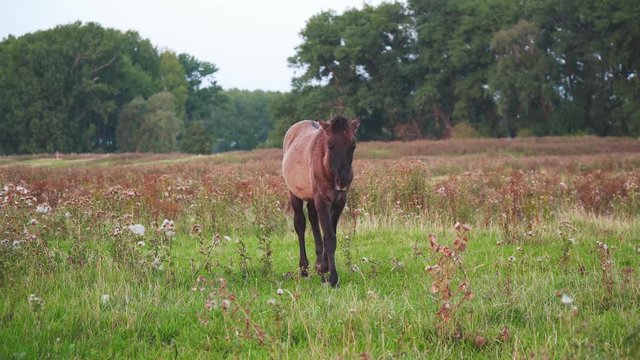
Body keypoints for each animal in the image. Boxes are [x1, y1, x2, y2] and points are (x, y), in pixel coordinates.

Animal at [282, 116, 360, 286]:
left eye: (353, 146)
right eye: (330, 146)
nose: (342, 181)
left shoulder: (339, 202)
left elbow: (329, 233)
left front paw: (323, 268)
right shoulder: (322, 201)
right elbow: (329, 237)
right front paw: (332, 277)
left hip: (312, 198)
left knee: (313, 218)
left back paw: (317, 265)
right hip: (295, 194)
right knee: (300, 224)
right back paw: (304, 269)